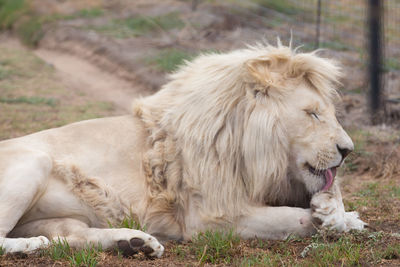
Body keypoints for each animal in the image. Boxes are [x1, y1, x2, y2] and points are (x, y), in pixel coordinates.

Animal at [0, 43, 364, 256]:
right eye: (312, 113)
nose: (348, 150)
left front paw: (337, 212)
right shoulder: (209, 216)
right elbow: (294, 219)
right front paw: (327, 216)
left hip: (60, 217)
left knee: (70, 236)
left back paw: (134, 243)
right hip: (35, 162)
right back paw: (29, 246)